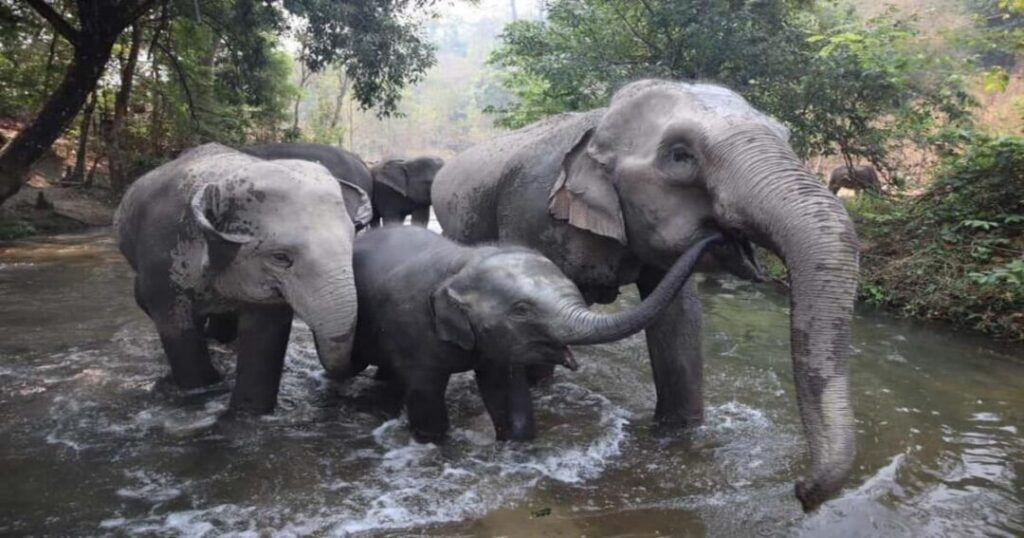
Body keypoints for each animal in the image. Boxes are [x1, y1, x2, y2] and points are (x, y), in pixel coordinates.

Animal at [347, 225, 722, 443]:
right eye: (521, 310)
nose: (714, 235)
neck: (462, 261)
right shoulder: (411, 325)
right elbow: (426, 397)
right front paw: (435, 443)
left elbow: (508, 392)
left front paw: (518, 445)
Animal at [432, 80, 860, 511]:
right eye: (680, 155)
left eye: (786, 137)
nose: (801, 490)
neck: (599, 124)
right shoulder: (526, 212)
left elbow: (678, 321)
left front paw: (680, 433)